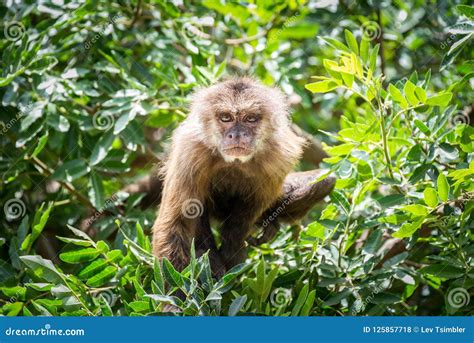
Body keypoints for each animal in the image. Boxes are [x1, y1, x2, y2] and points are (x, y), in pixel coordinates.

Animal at [154, 76, 336, 276]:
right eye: (226, 117)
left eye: (250, 119)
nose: (237, 135)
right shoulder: (191, 149)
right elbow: (175, 224)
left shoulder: (279, 157)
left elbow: (248, 213)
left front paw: (232, 251)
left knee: (327, 180)